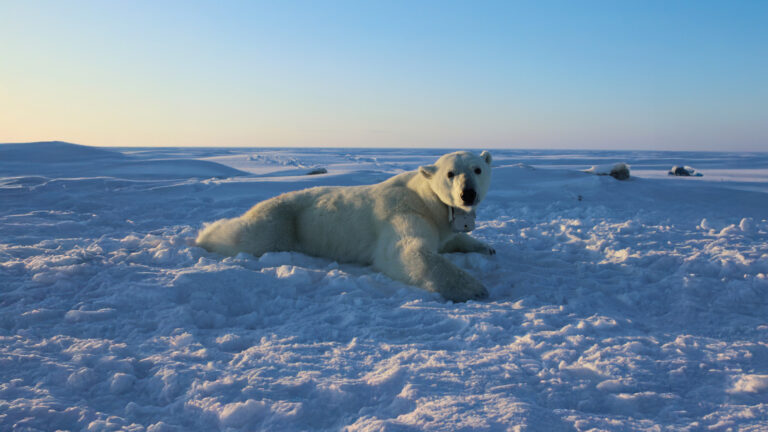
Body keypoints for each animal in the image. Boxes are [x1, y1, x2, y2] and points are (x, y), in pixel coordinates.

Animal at [195, 151, 495, 302]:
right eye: (450, 173)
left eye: (477, 169)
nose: (468, 194)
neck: (425, 198)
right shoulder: (404, 212)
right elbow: (406, 251)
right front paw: (475, 288)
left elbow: (451, 239)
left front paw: (486, 248)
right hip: (282, 222)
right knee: (245, 236)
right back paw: (202, 235)